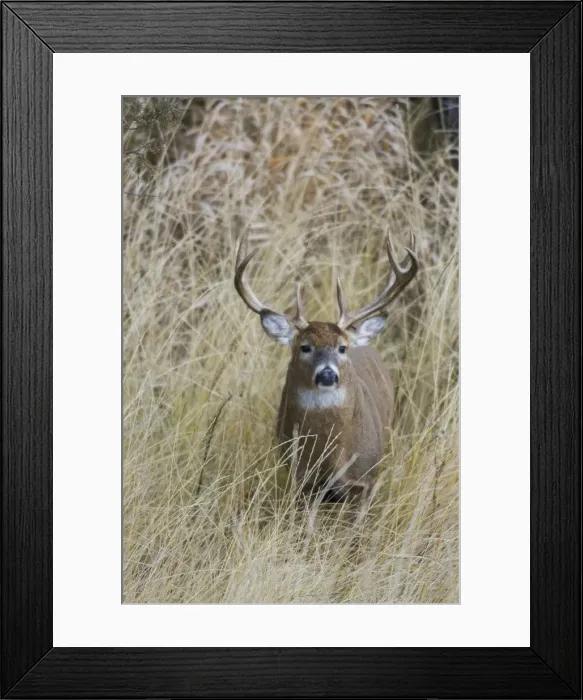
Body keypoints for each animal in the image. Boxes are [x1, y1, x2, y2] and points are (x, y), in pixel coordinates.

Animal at [234, 233, 418, 502]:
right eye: (304, 347)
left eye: (342, 348)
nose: (328, 373)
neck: (332, 459)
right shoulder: (304, 483)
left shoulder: (365, 481)